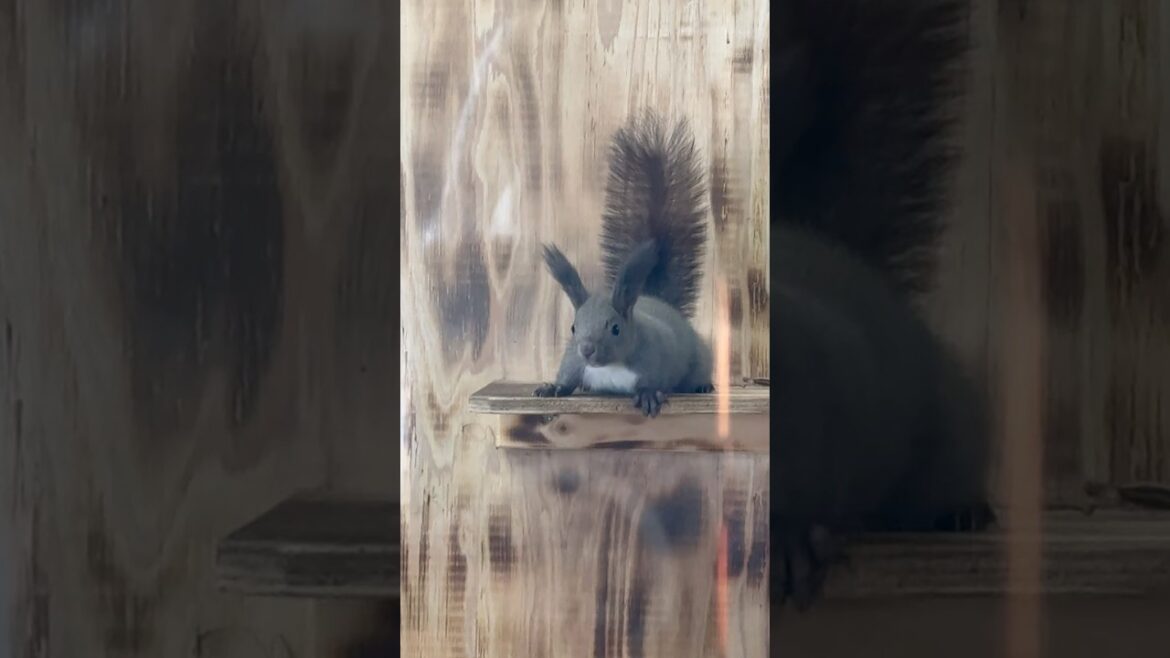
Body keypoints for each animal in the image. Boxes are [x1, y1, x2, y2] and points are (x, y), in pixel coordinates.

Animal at [535, 113, 712, 417]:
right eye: (573, 328)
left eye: (615, 328)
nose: (587, 350)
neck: (610, 366)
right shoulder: (574, 361)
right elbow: (567, 376)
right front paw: (552, 387)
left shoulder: (658, 355)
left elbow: (655, 379)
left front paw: (648, 395)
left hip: (698, 356)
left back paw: (702, 385)